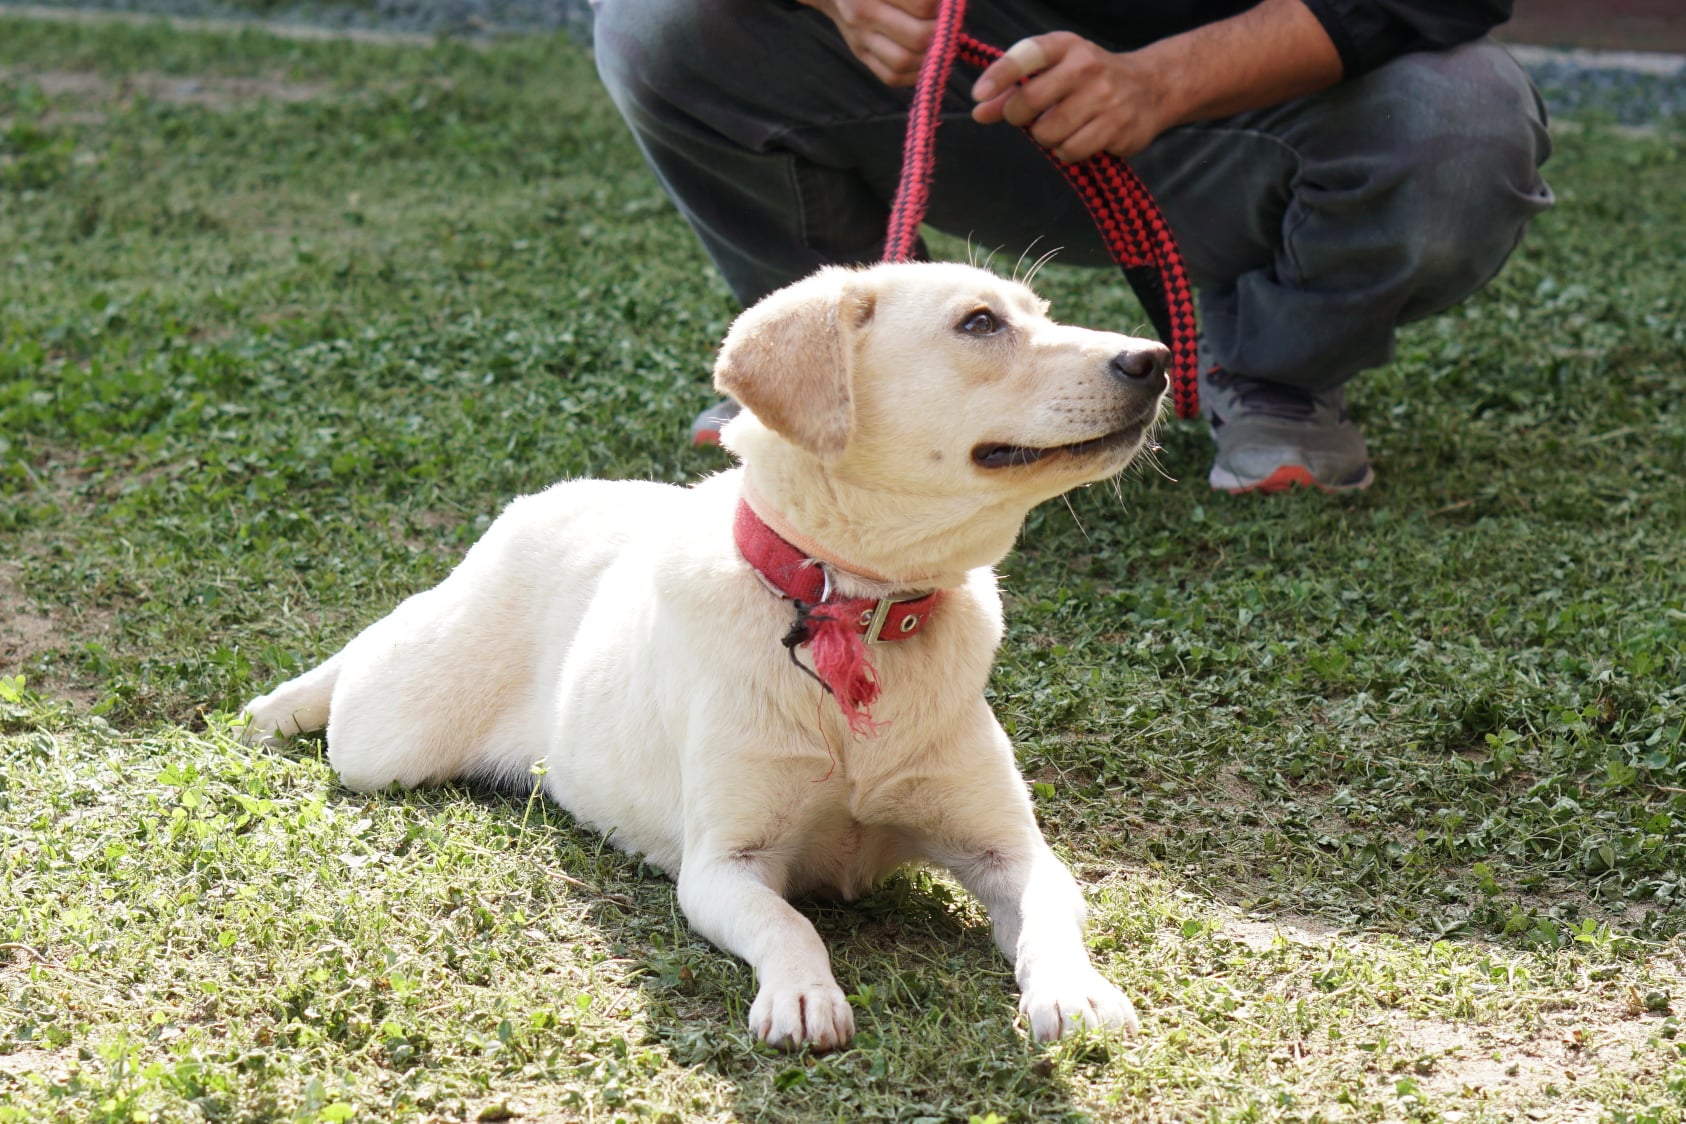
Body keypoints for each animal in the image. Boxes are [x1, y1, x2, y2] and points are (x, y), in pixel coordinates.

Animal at [241, 259, 1173, 1051]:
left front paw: (1075, 991)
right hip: (389, 736)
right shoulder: (725, 864)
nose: (1154, 358)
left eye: (1042, 313)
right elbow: (789, 924)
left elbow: (1049, 913)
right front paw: (802, 993)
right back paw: (277, 707)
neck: (849, 613)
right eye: (980, 323)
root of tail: (547, 497)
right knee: (369, 647)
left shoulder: (1010, 851)